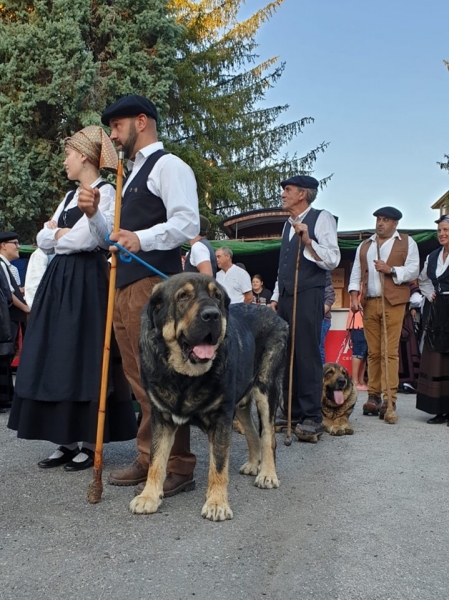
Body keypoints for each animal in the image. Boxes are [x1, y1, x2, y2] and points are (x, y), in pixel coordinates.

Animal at [130, 274, 288, 520]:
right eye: (183, 296)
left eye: (217, 297)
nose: (212, 315)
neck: (184, 377)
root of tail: (275, 314)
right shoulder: (162, 418)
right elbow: (156, 460)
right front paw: (149, 496)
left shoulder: (221, 417)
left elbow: (219, 465)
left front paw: (216, 503)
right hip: (240, 403)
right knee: (253, 432)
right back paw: (254, 464)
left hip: (266, 390)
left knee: (268, 436)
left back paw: (267, 474)